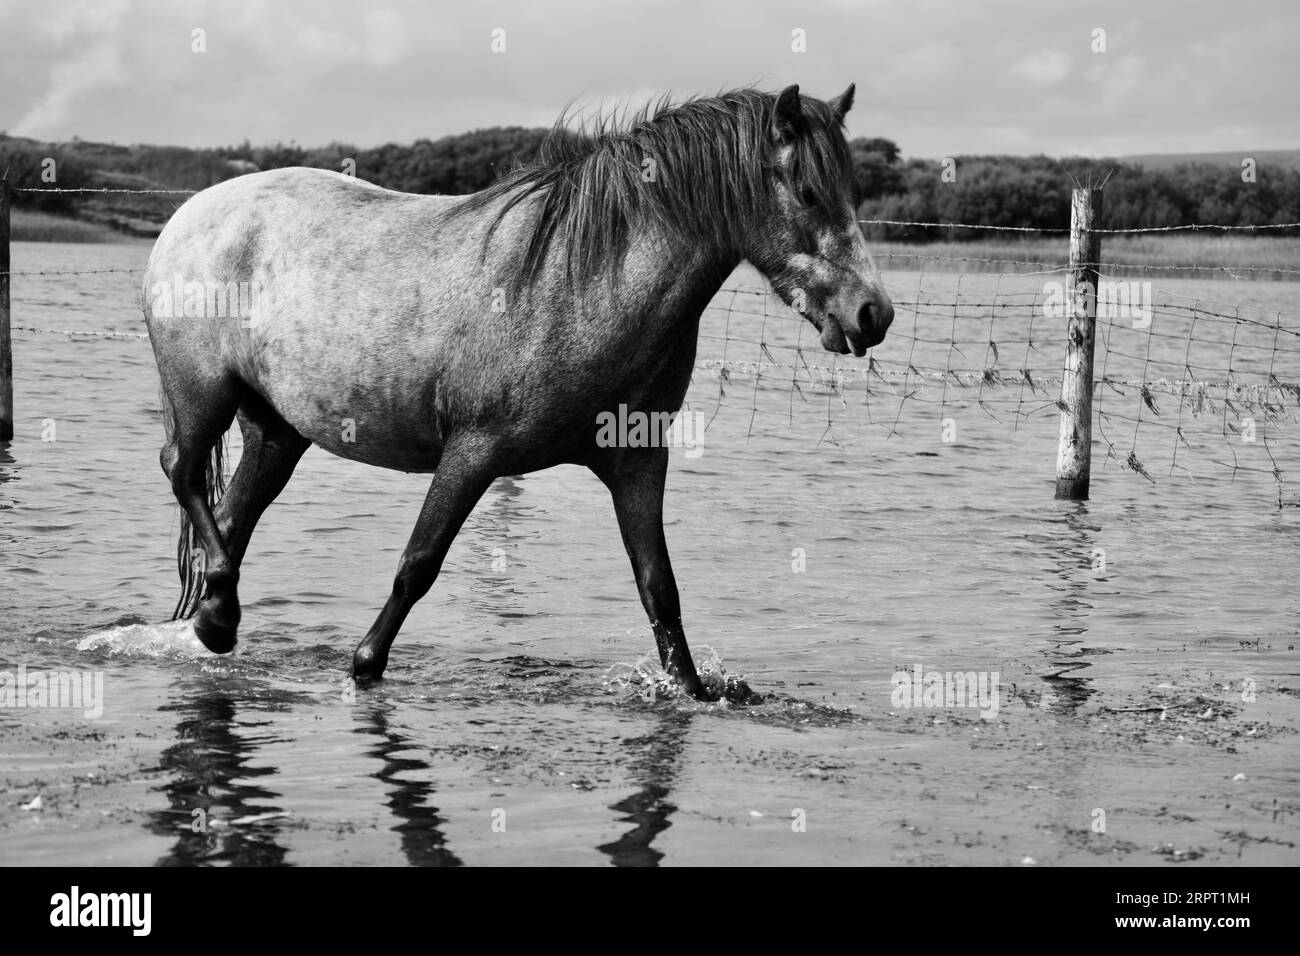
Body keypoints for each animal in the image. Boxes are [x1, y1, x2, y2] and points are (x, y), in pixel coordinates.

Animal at [143, 83, 894, 703]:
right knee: (181, 470)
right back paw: (219, 619)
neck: (579, 279)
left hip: (276, 430)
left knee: (231, 519)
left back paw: (213, 620)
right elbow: (418, 564)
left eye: (854, 194)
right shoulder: (474, 452)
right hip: (202, 394)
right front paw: (363, 665)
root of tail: (188, 214)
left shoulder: (636, 463)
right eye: (807, 193)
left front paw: (694, 690)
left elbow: (659, 587)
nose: (872, 314)